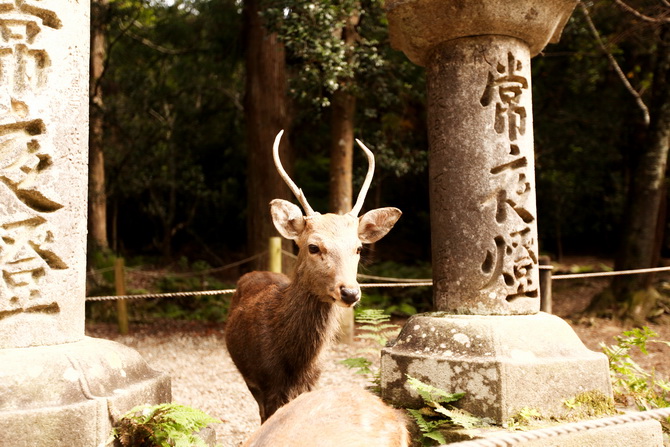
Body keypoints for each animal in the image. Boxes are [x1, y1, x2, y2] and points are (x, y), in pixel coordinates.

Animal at [226, 130, 404, 424]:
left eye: (358, 248)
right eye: (313, 247)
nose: (350, 292)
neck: (295, 363)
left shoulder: (313, 381)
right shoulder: (266, 384)